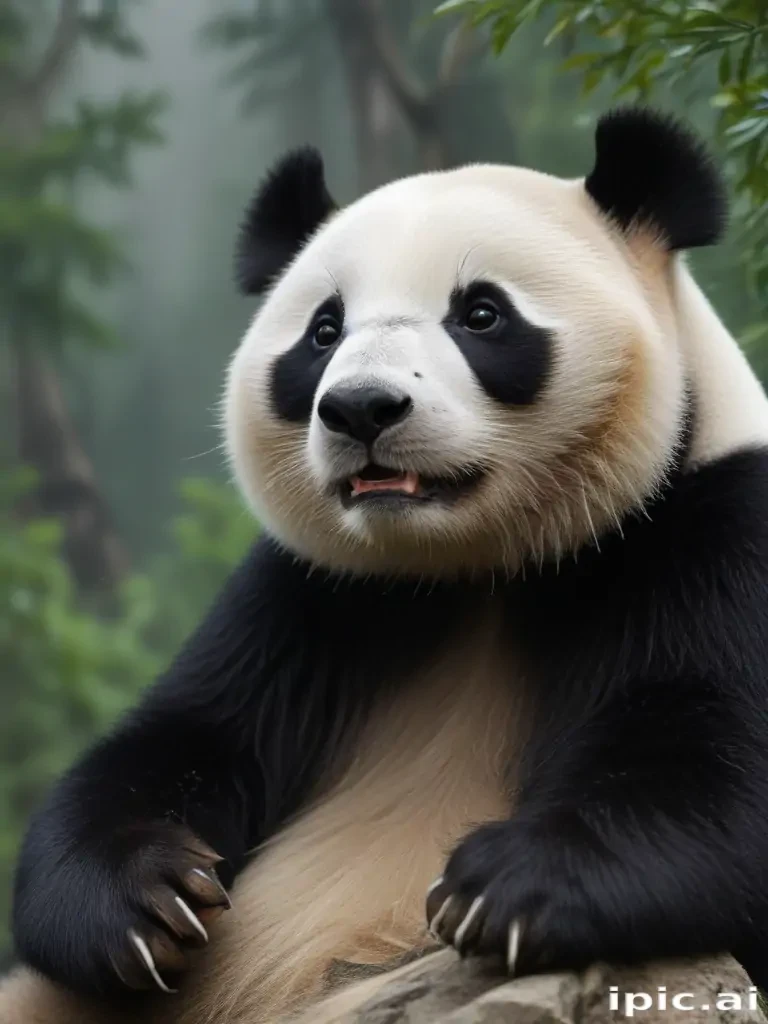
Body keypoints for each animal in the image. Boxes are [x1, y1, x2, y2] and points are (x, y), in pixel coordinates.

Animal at [4, 106, 768, 1024]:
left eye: (482, 314)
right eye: (324, 330)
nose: (361, 407)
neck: (475, 571)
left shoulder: (717, 536)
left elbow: (715, 778)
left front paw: (507, 889)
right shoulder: (309, 595)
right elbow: (177, 738)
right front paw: (149, 898)